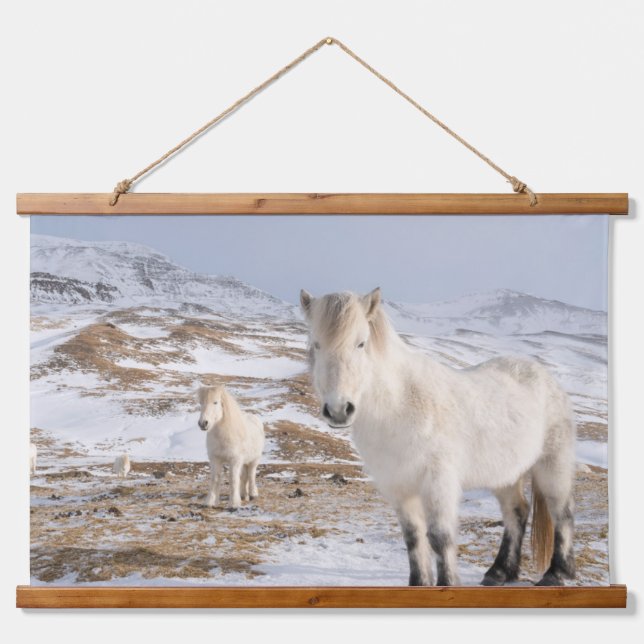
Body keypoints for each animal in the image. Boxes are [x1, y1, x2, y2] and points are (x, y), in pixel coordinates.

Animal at [300, 287, 576, 587]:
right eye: (316, 344)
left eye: (361, 344)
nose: (339, 410)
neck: (400, 406)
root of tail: (545, 377)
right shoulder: (399, 486)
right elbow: (412, 537)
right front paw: (419, 583)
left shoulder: (438, 481)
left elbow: (439, 537)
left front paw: (447, 584)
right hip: (505, 475)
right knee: (517, 513)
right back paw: (499, 572)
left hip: (552, 466)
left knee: (562, 514)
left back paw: (557, 573)